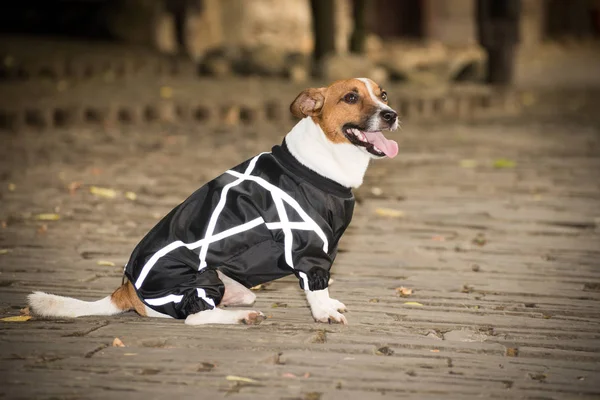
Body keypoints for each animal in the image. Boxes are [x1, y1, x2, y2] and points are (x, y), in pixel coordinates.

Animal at [30, 78, 400, 324]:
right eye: (350, 97)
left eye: (382, 95)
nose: (391, 114)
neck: (318, 162)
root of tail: (125, 291)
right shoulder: (308, 249)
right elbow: (315, 286)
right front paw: (324, 312)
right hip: (200, 280)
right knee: (195, 316)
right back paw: (241, 318)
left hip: (230, 284)